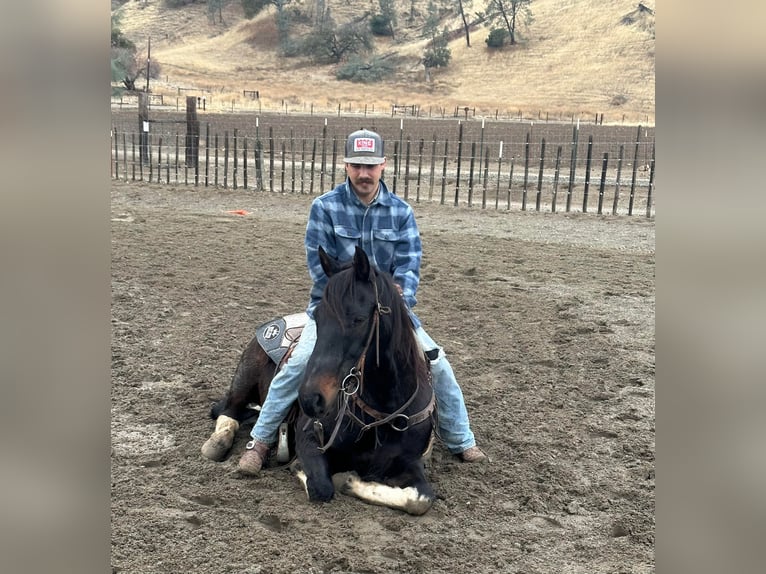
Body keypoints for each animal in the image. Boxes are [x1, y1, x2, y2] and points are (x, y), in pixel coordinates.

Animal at [201, 245, 436, 516]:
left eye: (359, 319)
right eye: (318, 317)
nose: (310, 398)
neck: (381, 415)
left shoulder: (411, 462)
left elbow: (421, 499)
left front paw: (352, 481)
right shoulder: (310, 440)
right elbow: (321, 486)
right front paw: (335, 477)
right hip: (243, 381)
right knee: (227, 411)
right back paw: (220, 443)